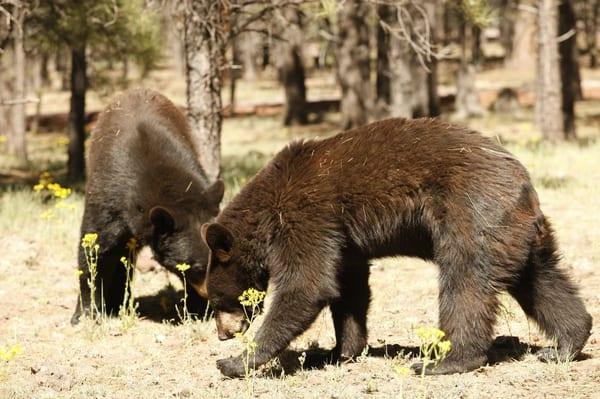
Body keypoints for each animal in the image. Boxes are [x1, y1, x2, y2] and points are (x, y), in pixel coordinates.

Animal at [72, 88, 223, 324]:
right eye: (197, 267)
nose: (211, 295)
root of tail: (134, 90)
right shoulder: (108, 198)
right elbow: (94, 248)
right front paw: (86, 313)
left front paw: (197, 308)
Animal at [200, 116, 592, 378]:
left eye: (216, 300)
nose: (222, 335)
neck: (267, 212)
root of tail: (523, 180)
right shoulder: (344, 242)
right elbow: (349, 290)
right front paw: (340, 352)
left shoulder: (305, 216)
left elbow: (307, 284)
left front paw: (236, 362)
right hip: (516, 232)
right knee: (542, 279)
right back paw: (566, 344)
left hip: (471, 213)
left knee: (465, 282)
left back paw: (445, 361)